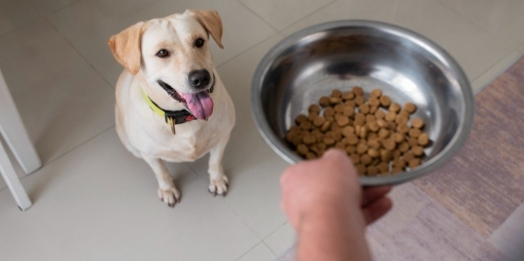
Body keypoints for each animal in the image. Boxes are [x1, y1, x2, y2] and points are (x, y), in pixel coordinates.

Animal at [107, 9, 234, 207]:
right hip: (130, 144)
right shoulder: (149, 154)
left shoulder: (222, 137)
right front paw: (168, 190)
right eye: (162, 53)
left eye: (199, 41)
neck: (184, 117)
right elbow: (161, 172)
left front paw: (217, 180)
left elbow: (215, 161)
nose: (201, 78)